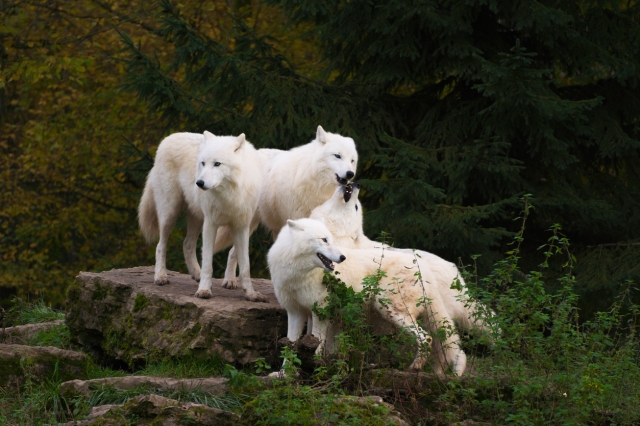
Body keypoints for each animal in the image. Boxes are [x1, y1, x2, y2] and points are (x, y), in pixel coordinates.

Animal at [139, 131, 268, 302]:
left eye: (217, 164)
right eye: (203, 163)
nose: (199, 183)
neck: (229, 195)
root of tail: (168, 138)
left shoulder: (241, 227)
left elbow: (245, 266)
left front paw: (251, 294)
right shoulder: (210, 224)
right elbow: (207, 263)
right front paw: (204, 290)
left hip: (196, 218)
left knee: (187, 244)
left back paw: (196, 274)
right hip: (170, 213)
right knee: (161, 245)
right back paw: (160, 276)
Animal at [212, 125, 358, 288]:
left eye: (352, 160)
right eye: (337, 156)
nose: (350, 174)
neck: (316, 185)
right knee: (233, 252)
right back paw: (229, 280)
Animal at [268, 220, 468, 376]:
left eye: (330, 239)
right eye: (324, 240)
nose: (342, 257)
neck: (297, 274)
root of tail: (423, 268)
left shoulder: (320, 312)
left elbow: (316, 346)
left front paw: (314, 371)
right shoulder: (296, 312)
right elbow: (289, 347)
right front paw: (284, 374)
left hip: (391, 310)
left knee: (426, 338)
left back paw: (414, 367)